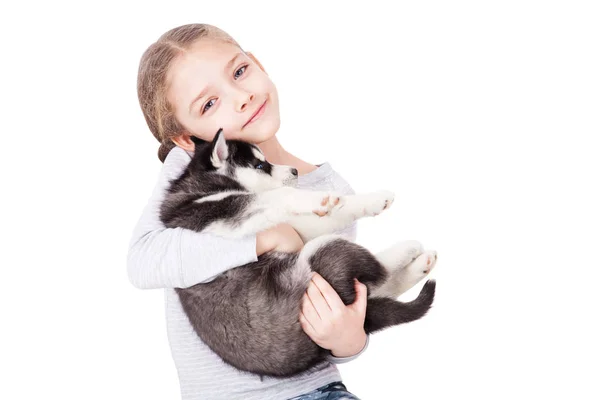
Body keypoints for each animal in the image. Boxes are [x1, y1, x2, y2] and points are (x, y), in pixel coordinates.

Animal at [162, 129, 438, 378]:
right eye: (260, 165)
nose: (294, 171)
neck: (206, 184)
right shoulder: (221, 216)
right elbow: (282, 194)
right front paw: (323, 198)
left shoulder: (296, 225)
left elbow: (337, 210)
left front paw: (373, 199)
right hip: (321, 256)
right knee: (379, 271)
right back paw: (408, 251)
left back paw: (421, 263)